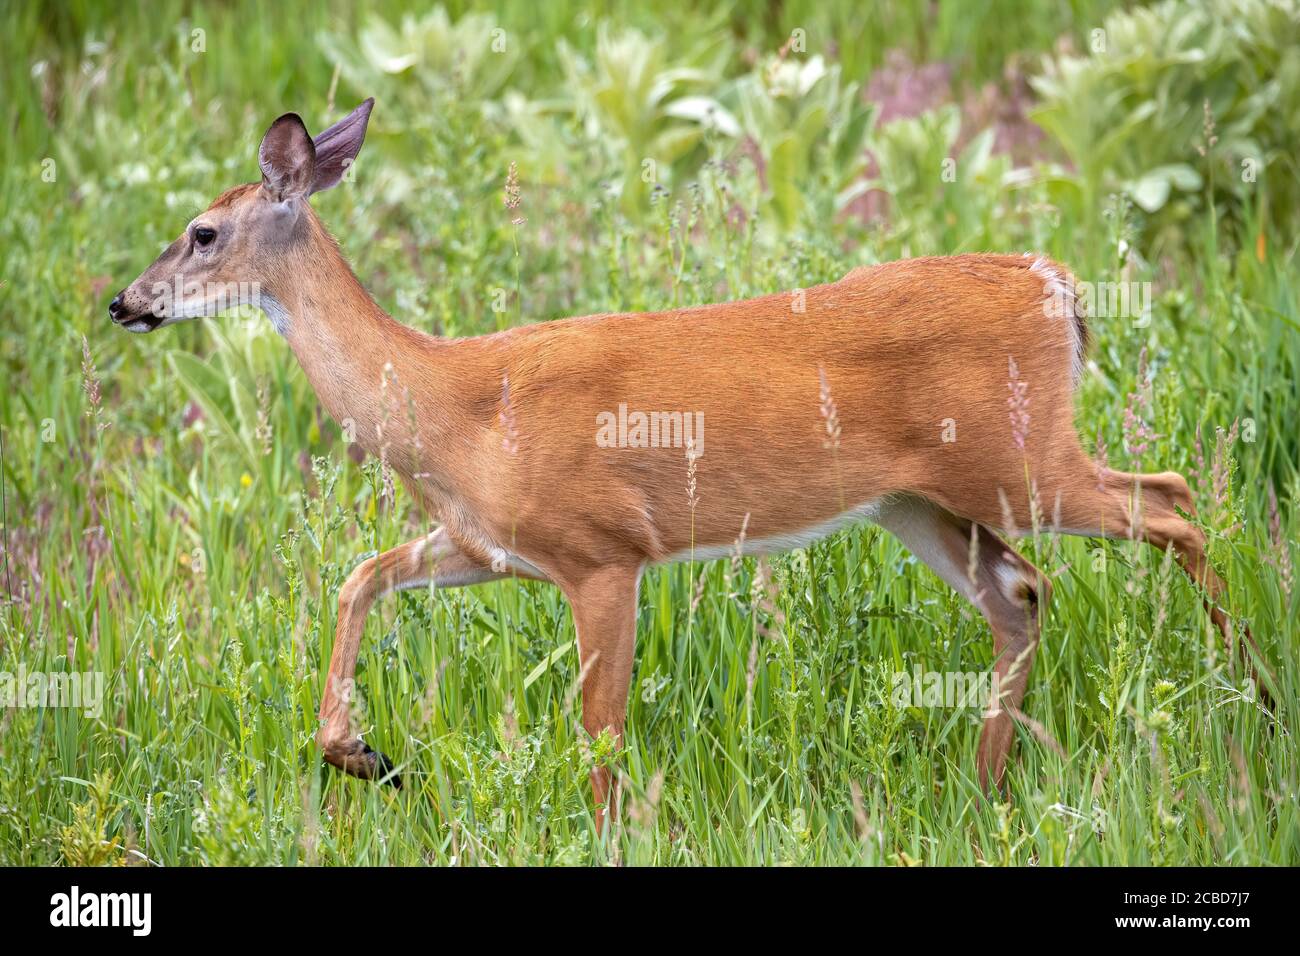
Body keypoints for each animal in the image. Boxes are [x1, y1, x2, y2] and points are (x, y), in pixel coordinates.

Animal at [109, 97, 1268, 832]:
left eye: (201, 232)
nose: (125, 301)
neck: (452, 405)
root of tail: (1057, 284)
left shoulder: (603, 550)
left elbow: (600, 729)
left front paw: (609, 835)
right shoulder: (488, 541)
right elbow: (359, 575)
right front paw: (362, 754)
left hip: (1022, 458)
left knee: (1171, 501)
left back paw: (1254, 703)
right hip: (916, 500)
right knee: (1022, 590)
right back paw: (983, 790)